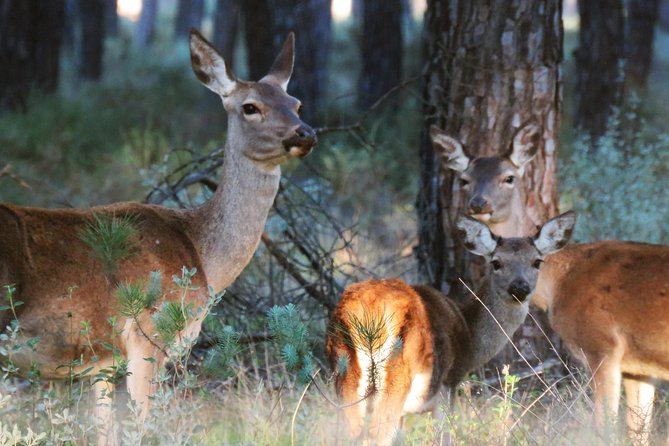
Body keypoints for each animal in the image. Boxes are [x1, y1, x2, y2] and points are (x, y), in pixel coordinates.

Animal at [0, 29, 316, 444]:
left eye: (296, 103)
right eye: (250, 107)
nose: (305, 133)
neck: (201, 254)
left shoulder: (102, 363)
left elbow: (106, 430)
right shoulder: (148, 333)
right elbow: (142, 427)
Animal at [324, 211, 576, 444]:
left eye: (536, 261)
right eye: (496, 262)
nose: (519, 287)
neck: (470, 336)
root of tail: (368, 312)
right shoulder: (449, 382)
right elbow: (445, 434)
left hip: (345, 372)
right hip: (397, 377)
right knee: (377, 434)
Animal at [430, 123, 664, 444]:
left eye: (509, 177)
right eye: (465, 179)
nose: (478, 203)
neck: (559, 284)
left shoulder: (602, 346)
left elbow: (603, 428)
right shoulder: (638, 367)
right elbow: (638, 432)